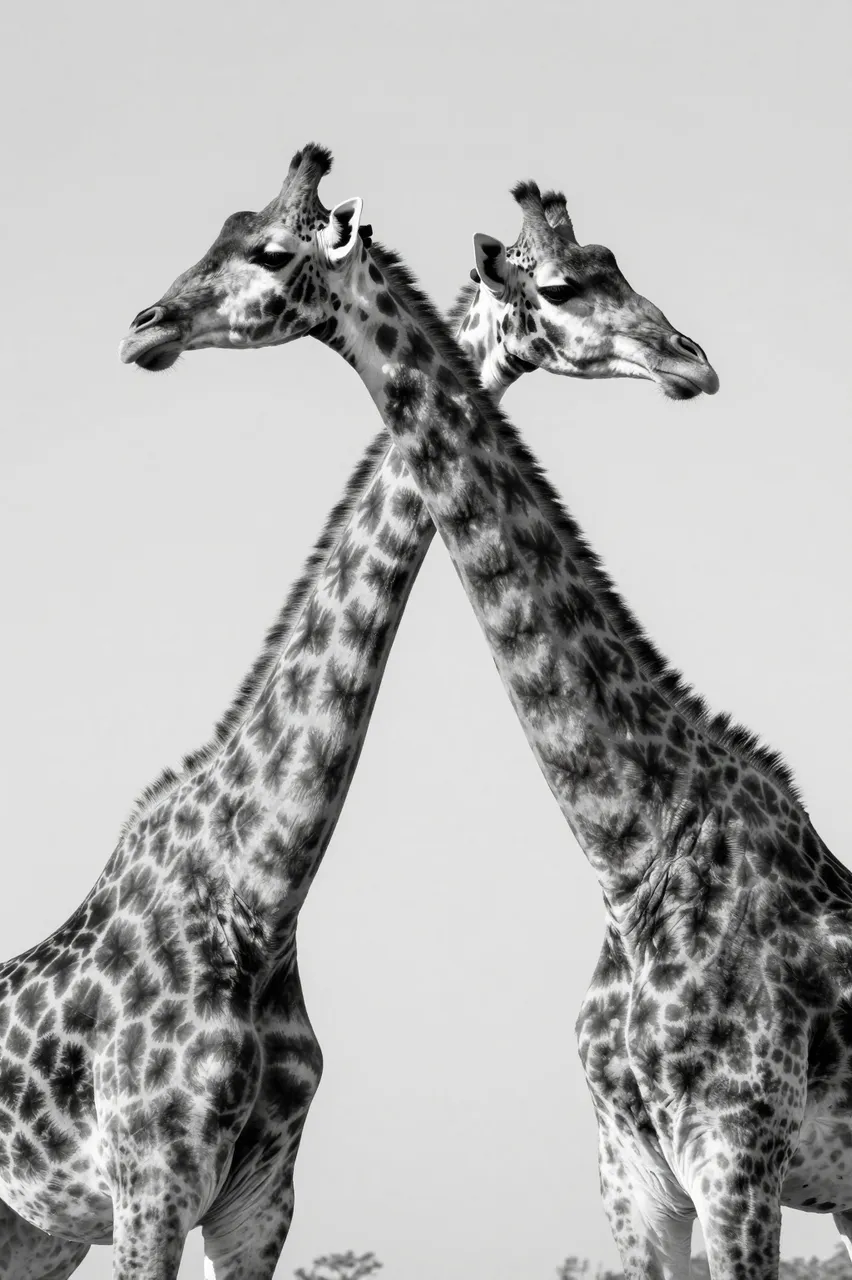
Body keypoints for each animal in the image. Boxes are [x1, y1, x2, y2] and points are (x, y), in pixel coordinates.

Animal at [0, 148, 714, 1280]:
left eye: (265, 249)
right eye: (565, 287)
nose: (143, 326)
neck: (258, 892)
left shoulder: (257, 1199)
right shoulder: (149, 1181)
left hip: (33, 1227)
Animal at [121, 144, 851, 1280]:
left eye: (270, 251)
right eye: (560, 287)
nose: (692, 361)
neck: (634, 853)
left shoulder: (739, 1152)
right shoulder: (637, 1174)